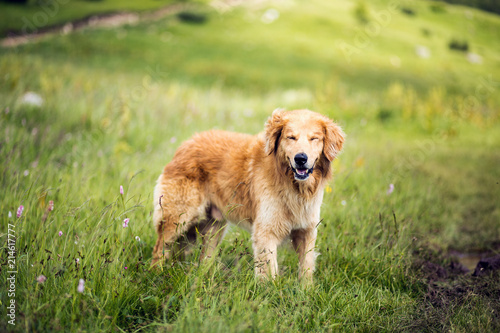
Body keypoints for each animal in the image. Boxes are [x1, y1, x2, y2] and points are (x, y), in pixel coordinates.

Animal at [151, 109, 344, 280]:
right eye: (291, 137)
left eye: (314, 138)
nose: (300, 158)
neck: (292, 185)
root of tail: (186, 143)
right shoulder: (266, 232)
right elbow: (269, 273)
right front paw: (271, 293)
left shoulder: (307, 231)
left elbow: (306, 269)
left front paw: (306, 291)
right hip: (179, 218)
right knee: (160, 247)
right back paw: (156, 274)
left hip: (215, 227)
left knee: (204, 257)